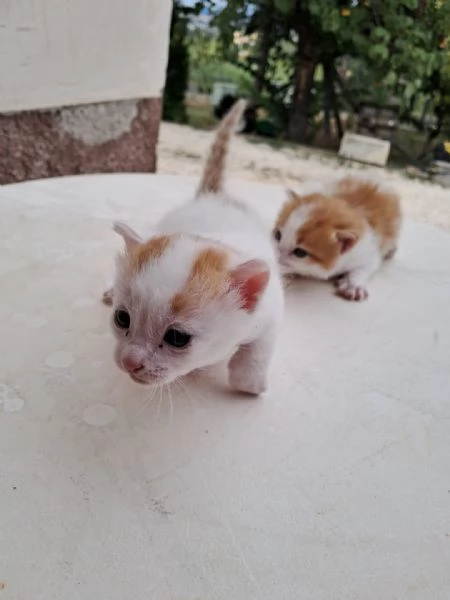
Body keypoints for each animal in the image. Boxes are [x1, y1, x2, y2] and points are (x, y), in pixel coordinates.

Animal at [103, 100, 284, 394]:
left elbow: (258, 350)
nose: (130, 361)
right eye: (122, 318)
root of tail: (213, 196)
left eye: (177, 338)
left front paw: (250, 384)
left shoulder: (271, 311)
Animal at [272, 177, 402, 300]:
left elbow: (366, 266)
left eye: (300, 252)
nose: (276, 255)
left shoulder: (366, 250)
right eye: (277, 235)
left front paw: (353, 284)